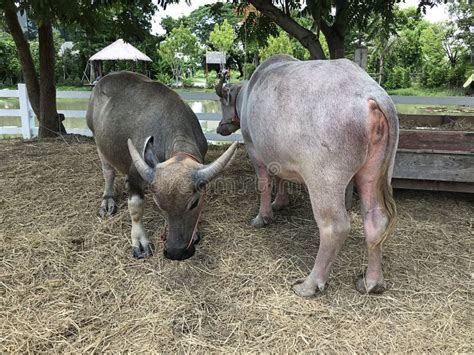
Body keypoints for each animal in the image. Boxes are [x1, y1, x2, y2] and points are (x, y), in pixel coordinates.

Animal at [86, 71, 237, 262]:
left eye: (194, 203)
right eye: (158, 204)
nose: (176, 252)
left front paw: (194, 233)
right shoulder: (136, 172)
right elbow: (136, 208)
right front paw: (140, 241)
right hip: (98, 142)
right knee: (108, 173)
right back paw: (107, 200)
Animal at [217, 55, 398, 294]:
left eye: (222, 103)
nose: (219, 128)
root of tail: (372, 95)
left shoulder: (254, 149)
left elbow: (264, 183)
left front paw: (262, 216)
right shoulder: (277, 154)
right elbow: (280, 177)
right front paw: (280, 202)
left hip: (324, 180)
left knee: (334, 227)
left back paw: (310, 284)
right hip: (375, 174)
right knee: (375, 220)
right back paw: (372, 282)